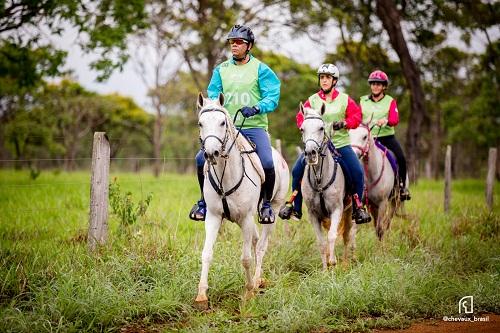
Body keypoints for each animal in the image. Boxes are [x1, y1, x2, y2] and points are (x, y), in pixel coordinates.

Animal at [195, 92, 290, 308]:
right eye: (200, 123)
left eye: (222, 122)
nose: (211, 153)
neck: (226, 175)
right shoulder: (213, 217)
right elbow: (206, 253)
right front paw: (202, 295)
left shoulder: (246, 218)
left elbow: (246, 258)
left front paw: (248, 292)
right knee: (255, 240)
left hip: (272, 210)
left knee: (261, 246)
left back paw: (256, 281)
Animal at [296, 102, 356, 268]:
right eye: (302, 129)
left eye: (321, 128)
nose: (310, 153)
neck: (319, 179)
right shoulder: (313, 215)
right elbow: (321, 243)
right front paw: (324, 269)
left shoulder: (337, 210)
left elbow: (332, 236)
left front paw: (333, 263)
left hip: (350, 212)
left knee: (347, 236)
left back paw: (346, 263)